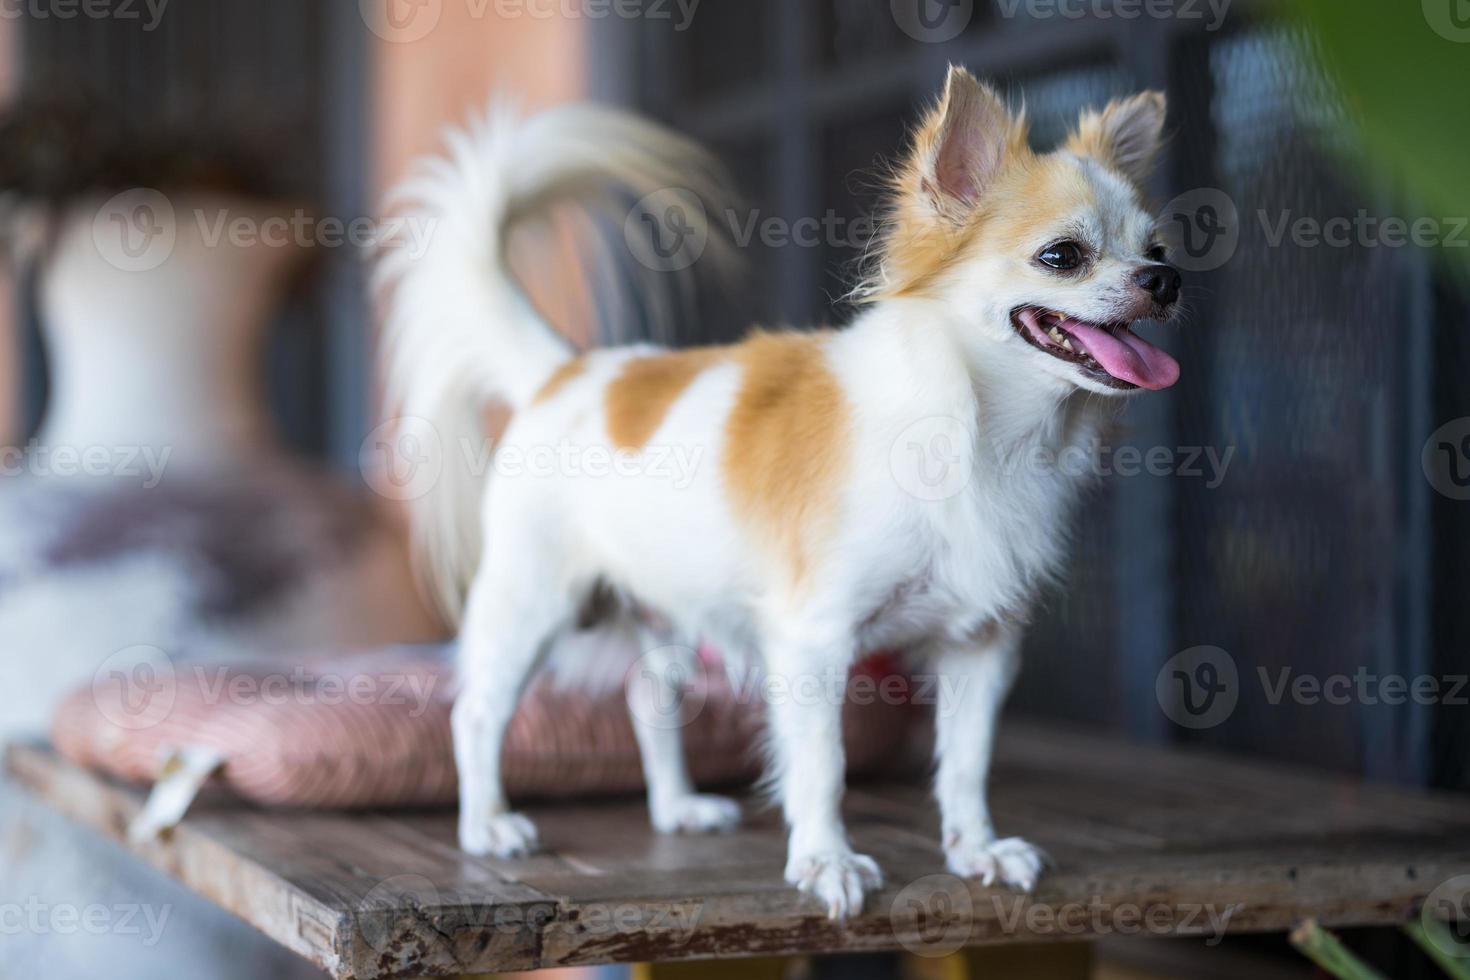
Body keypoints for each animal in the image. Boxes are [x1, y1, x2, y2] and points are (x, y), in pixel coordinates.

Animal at [379, 67, 1181, 922]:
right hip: (533, 603)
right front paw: (826, 861)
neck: (981, 432)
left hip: (666, 611)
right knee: (476, 712)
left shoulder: (980, 646)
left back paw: (677, 808)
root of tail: (566, 370)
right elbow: (822, 765)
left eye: (1159, 249)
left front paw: (977, 850)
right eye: (1063, 256)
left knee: (648, 702)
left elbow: (966, 762)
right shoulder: (812, 643)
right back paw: (487, 825)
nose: (1166, 280)